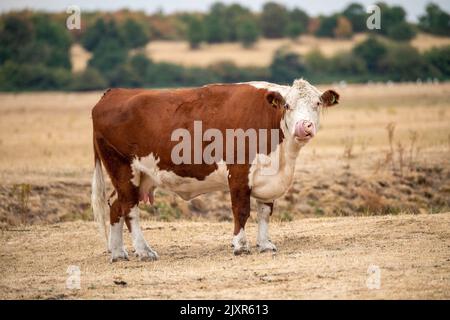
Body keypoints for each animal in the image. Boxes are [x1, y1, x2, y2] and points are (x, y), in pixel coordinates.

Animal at [90, 79, 338, 262]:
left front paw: (265, 244)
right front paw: (240, 245)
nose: (304, 127)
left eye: (317, 103)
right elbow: (241, 210)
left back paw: (118, 253)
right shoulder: (238, 171)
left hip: (138, 175)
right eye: (287, 105)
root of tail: (113, 93)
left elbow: (264, 212)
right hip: (122, 167)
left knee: (116, 205)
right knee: (129, 209)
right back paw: (143, 251)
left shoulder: (269, 177)